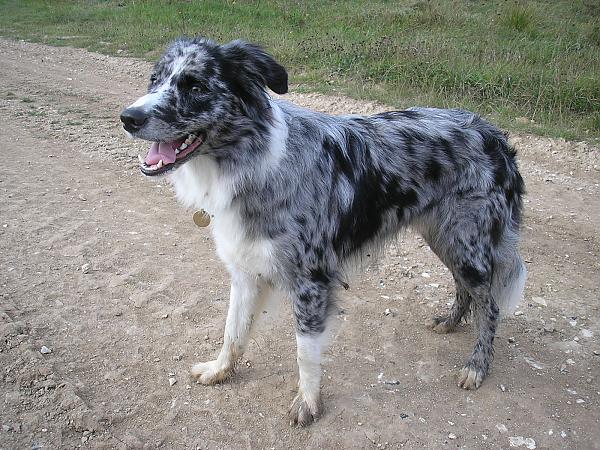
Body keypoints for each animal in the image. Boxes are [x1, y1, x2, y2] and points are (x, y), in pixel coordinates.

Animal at [120, 37, 524, 426]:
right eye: (155, 79)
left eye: (195, 86)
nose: (128, 118)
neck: (253, 162)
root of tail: (492, 132)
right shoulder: (245, 271)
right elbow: (232, 331)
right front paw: (220, 370)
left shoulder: (311, 282)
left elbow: (305, 353)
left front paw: (308, 404)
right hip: (445, 238)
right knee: (465, 288)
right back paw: (450, 323)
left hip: (465, 242)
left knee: (490, 305)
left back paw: (476, 366)